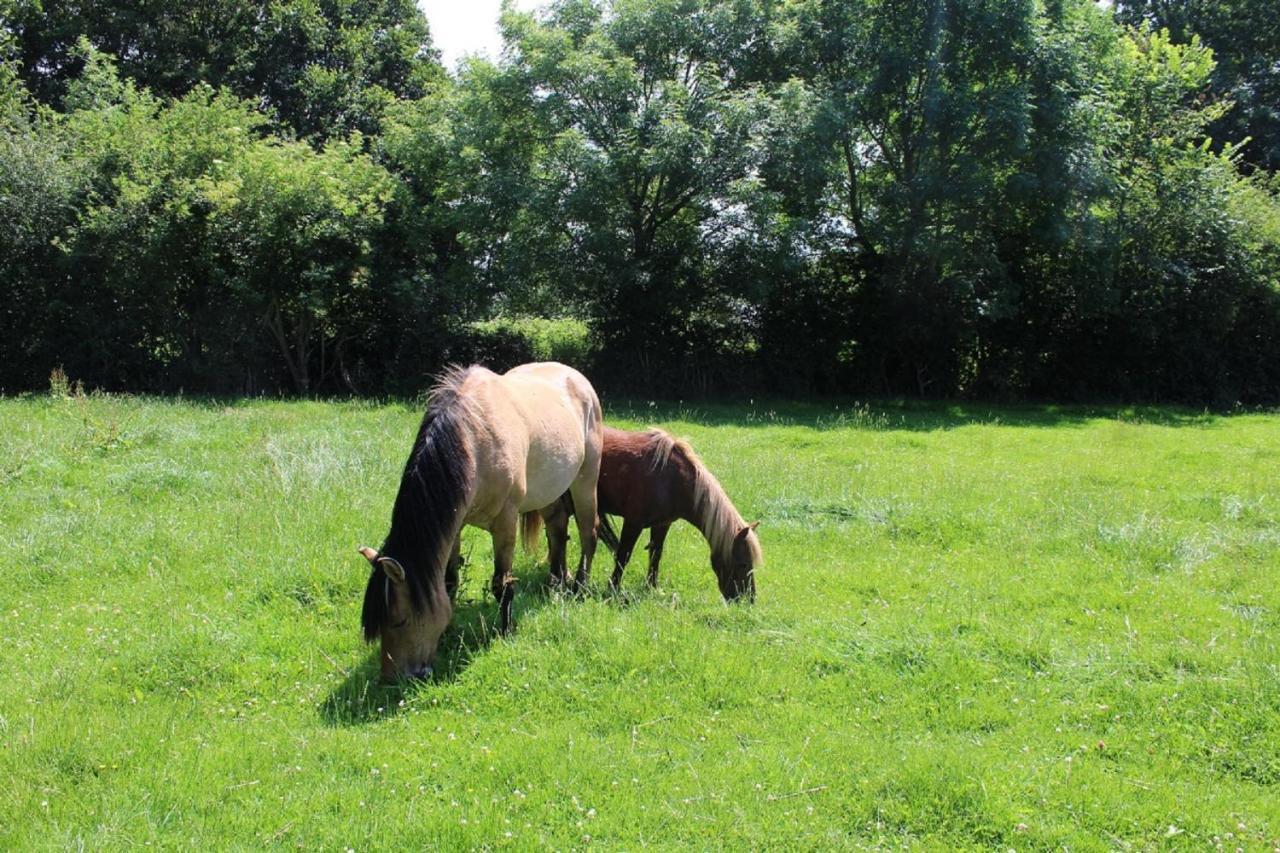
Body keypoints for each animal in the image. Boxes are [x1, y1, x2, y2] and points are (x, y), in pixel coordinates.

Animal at [358, 361, 601, 681]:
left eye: (399, 621)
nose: (390, 679)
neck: (473, 441)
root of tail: (578, 377)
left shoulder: (506, 522)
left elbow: (502, 584)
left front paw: (505, 631)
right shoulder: (456, 526)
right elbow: (449, 581)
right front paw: (448, 631)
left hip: (586, 479)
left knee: (588, 532)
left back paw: (580, 587)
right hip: (550, 489)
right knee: (557, 529)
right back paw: (557, 582)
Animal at [542, 422, 757, 596]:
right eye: (742, 563)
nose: (747, 599)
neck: (671, 479)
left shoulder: (662, 524)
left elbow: (656, 554)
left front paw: (652, 587)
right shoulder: (633, 523)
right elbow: (623, 555)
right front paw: (613, 588)